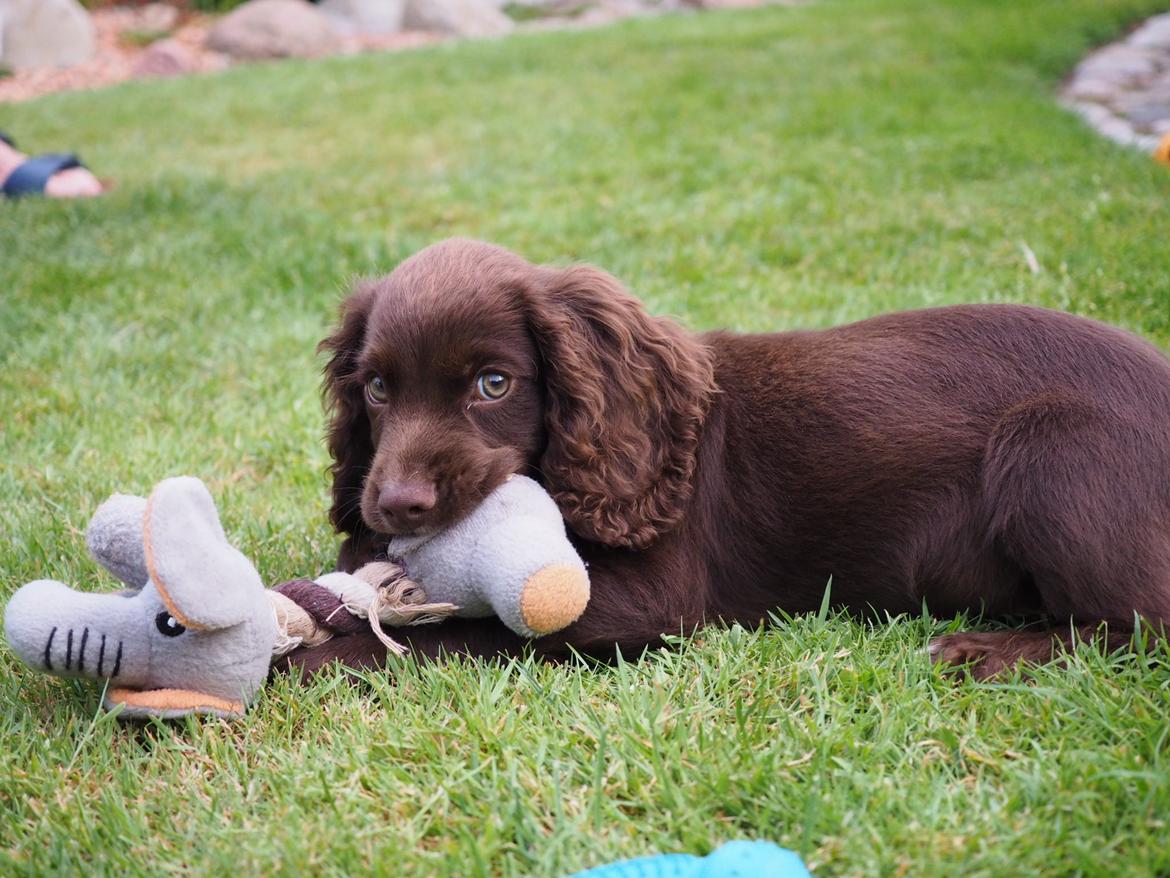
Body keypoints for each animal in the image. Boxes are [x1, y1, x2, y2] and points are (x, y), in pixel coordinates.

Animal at [280, 238, 1170, 678]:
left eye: (493, 384)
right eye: (377, 390)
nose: (396, 504)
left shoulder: (649, 603)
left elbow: (464, 624)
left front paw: (312, 655)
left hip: (1051, 449)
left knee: (1143, 619)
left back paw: (983, 651)